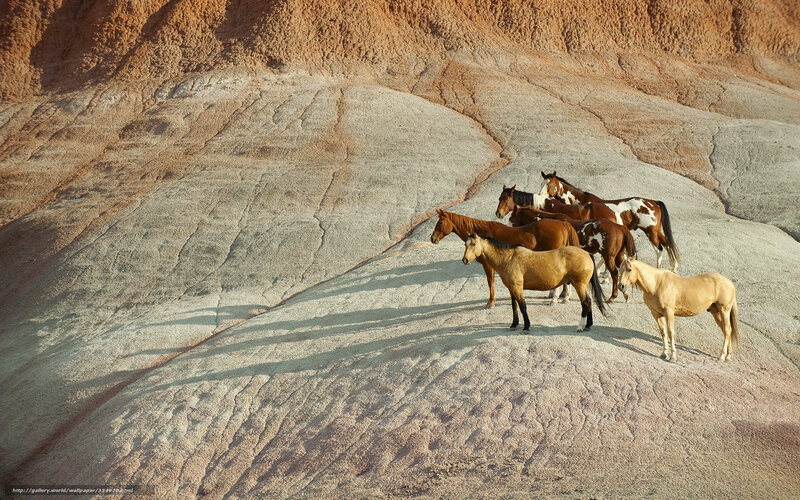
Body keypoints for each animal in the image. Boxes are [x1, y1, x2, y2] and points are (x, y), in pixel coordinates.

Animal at [429, 209, 578, 306]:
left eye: (440, 223)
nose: (432, 238)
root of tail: (562, 223)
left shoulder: (488, 265)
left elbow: (490, 281)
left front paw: (491, 302)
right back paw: (564, 297)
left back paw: (555, 299)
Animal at [462, 235, 608, 331]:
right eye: (465, 244)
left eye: (473, 244)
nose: (465, 260)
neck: (508, 258)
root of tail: (587, 254)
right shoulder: (511, 288)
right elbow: (514, 306)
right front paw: (514, 324)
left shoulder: (517, 288)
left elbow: (522, 306)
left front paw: (526, 326)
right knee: (589, 301)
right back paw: (588, 325)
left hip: (579, 285)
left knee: (585, 303)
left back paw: (580, 326)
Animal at [539, 171, 679, 271]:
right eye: (541, 183)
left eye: (549, 184)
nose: (540, 196)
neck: (582, 203)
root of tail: (653, 202)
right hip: (656, 231)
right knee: (668, 244)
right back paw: (674, 267)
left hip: (650, 232)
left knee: (659, 249)